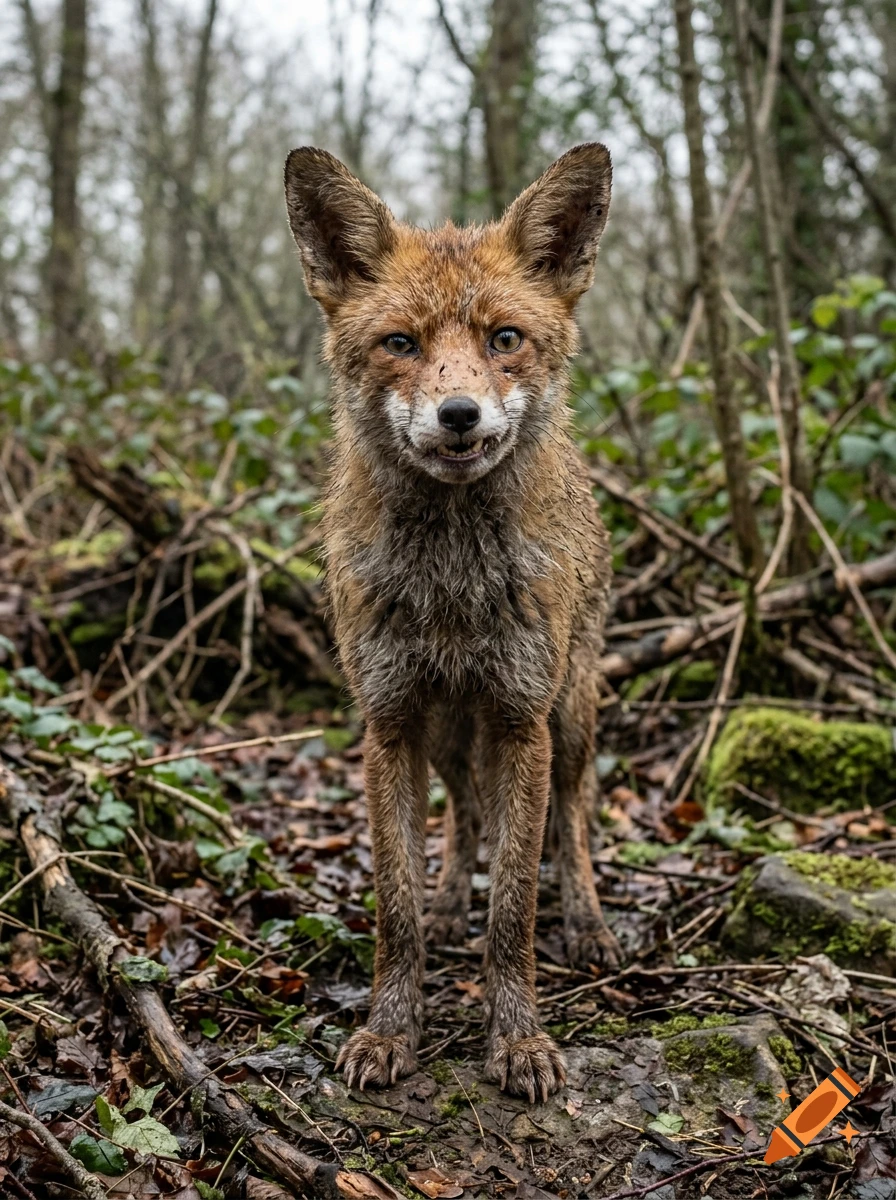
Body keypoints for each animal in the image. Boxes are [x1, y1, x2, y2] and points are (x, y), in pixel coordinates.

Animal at [283, 143, 621, 1103]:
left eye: (504, 339)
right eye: (401, 344)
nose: (459, 414)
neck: (452, 593)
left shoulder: (519, 719)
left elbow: (514, 910)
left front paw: (518, 1040)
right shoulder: (391, 722)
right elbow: (395, 906)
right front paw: (392, 1028)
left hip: (569, 717)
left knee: (572, 820)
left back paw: (586, 921)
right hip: (445, 731)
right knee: (467, 816)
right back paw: (447, 902)